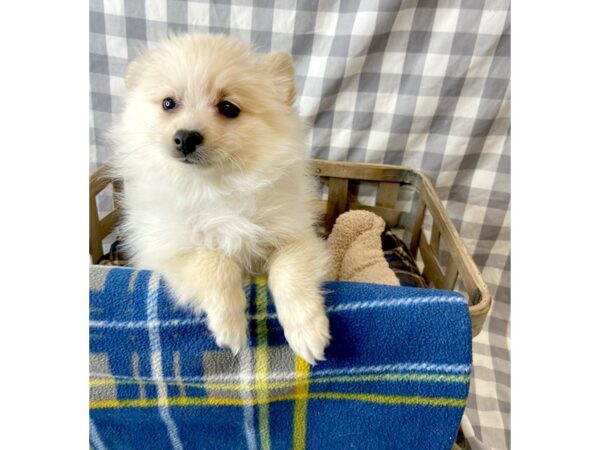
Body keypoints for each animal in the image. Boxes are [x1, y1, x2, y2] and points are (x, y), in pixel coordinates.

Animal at [110, 34, 330, 366]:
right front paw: (230, 325)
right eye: (168, 103)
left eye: (228, 107)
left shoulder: (293, 236)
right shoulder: (168, 249)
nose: (186, 137)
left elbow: (290, 272)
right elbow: (214, 261)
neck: (214, 188)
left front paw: (308, 331)